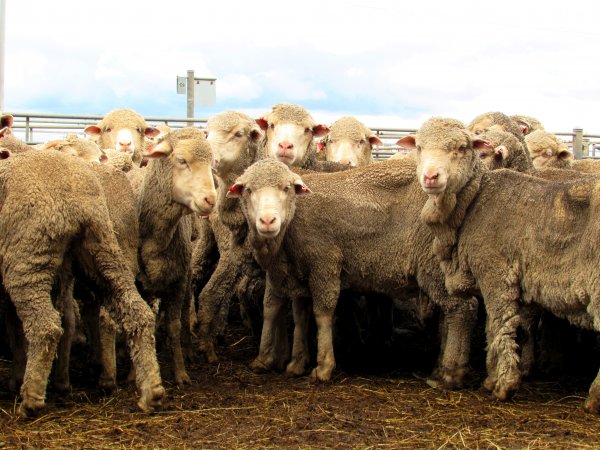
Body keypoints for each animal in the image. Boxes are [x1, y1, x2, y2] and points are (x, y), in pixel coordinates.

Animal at [0, 150, 164, 414]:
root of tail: (75, 196)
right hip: (101, 248)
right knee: (138, 314)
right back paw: (151, 391)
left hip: (25, 258)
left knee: (45, 327)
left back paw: (31, 399)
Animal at [137, 125, 218, 384]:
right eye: (182, 160)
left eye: (212, 163)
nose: (210, 199)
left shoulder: (177, 281)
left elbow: (174, 326)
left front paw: (180, 372)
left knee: (184, 312)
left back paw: (189, 350)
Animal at [227, 156, 476, 384]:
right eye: (248, 190)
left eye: (286, 188)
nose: (268, 220)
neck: (294, 215)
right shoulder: (295, 273)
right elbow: (293, 315)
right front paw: (292, 363)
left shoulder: (324, 262)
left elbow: (322, 314)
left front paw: (323, 367)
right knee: (450, 313)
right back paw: (442, 368)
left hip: (433, 261)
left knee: (461, 308)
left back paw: (451, 373)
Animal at [412, 117, 600, 414]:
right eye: (419, 146)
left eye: (462, 147)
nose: (431, 177)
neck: (477, 199)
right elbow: (498, 327)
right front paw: (492, 378)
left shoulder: (496, 272)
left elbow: (501, 323)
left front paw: (504, 384)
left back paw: (594, 397)